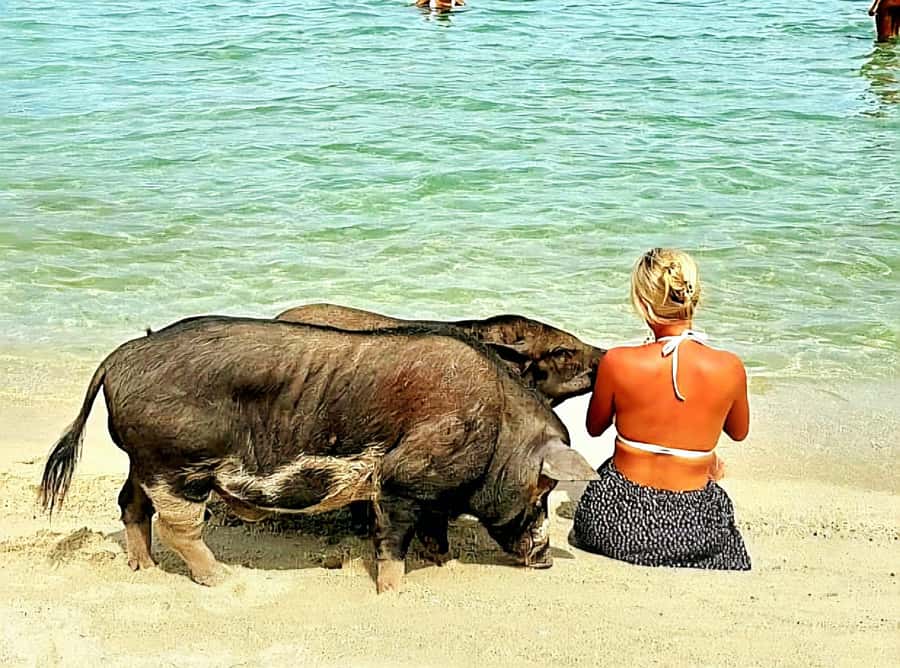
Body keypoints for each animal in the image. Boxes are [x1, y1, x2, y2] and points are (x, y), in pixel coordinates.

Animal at [40, 316, 598, 592]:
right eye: (543, 491)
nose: (547, 561)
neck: (498, 428)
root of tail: (119, 357)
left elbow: (432, 530)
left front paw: (442, 562)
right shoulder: (399, 481)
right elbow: (393, 541)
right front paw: (394, 592)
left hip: (145, 462)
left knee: (130, 504)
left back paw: (144, 569)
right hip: (177, 463)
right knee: (179, 525)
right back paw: (223, 579)